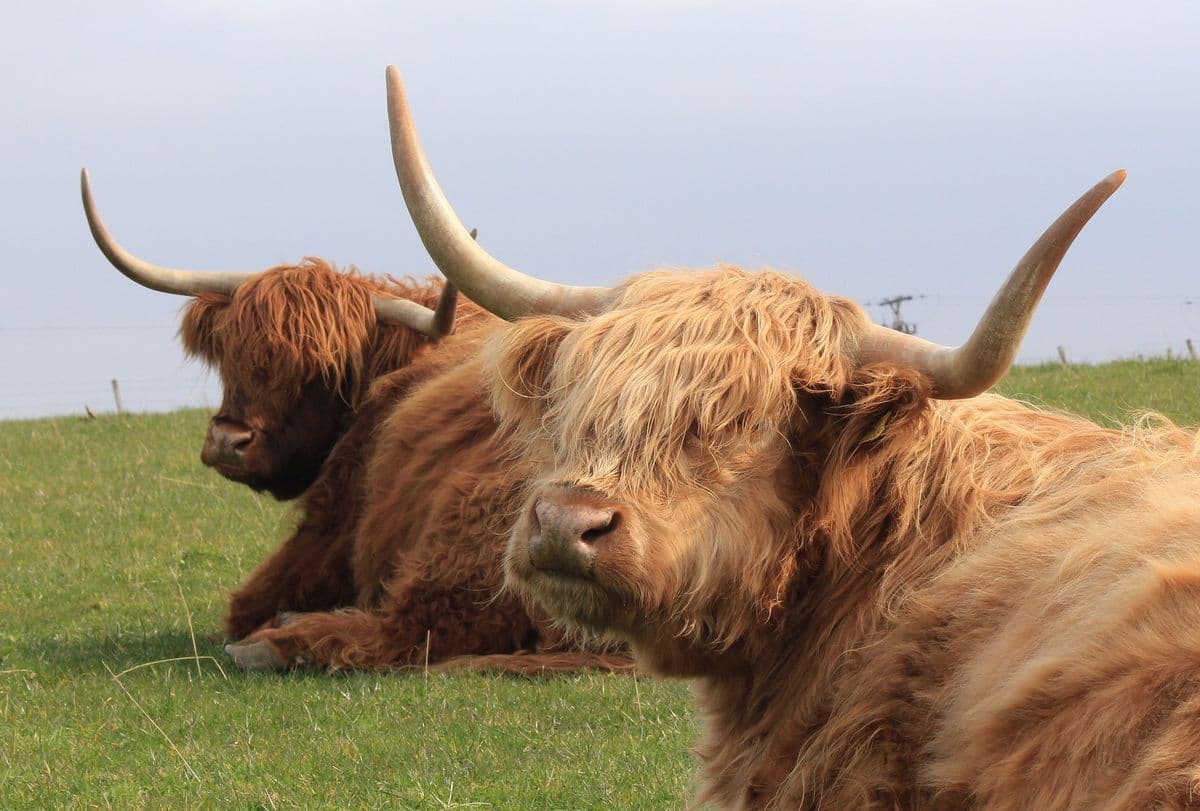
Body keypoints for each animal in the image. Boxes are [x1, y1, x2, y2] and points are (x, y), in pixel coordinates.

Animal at [82, 169, 632, 674]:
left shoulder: (326, 528)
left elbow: (242, 605)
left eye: (321, 372)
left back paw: (271, 641)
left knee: (407, 630)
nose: (227, 442)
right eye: (229, 354)